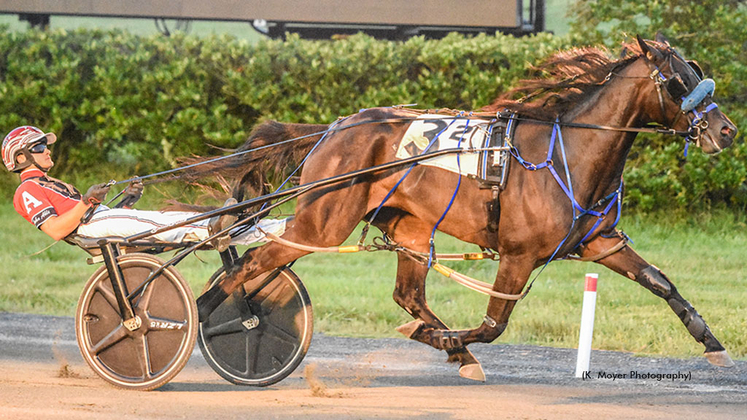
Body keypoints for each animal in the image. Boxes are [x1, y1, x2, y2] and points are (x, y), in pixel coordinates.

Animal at [196, 34, 740, 378]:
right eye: (678, 80)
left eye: (697, 72)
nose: (726, 130)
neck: (571, 154)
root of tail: (334, 128)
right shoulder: (519, 255)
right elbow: (494, 325)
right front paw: (455, 341)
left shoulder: (598, 242)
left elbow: (660, 281)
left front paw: (713, 344)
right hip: (320, 222)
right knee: (248, 265)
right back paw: (198, 315)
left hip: (411, 228)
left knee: (407, 295)